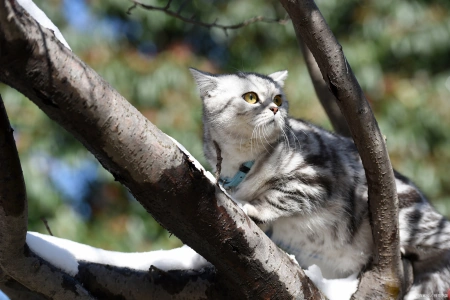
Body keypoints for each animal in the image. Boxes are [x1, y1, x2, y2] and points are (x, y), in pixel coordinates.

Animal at [189, 68, 450, 300]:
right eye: (251, 97)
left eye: (278, 98)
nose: (275, 108)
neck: (243, 156)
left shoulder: (314, 177)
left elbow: (280, 195)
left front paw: (254, 207)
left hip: (410, 218)